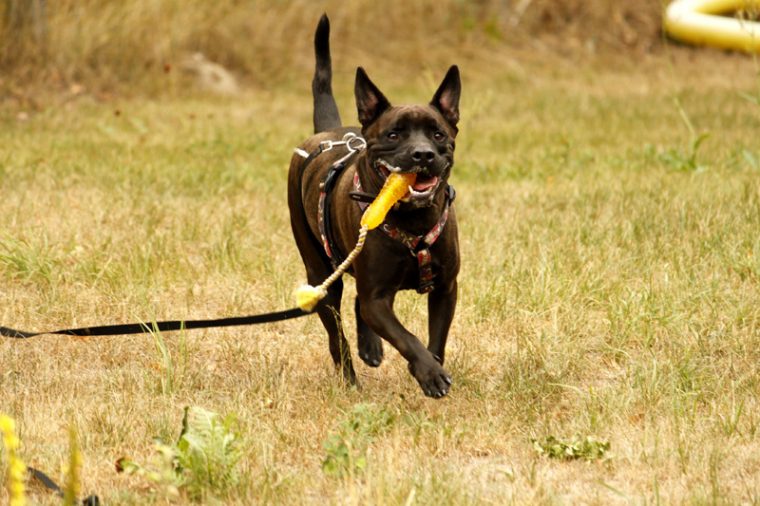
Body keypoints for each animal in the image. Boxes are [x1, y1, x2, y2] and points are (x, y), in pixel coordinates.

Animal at [286, 13, 460, 398]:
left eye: (438, 134)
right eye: (393, 134)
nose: (422, 154)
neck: (411, 219)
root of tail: (328, 132)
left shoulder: (445, 288)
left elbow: (435, 340)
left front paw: (431, 368)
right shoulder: (378, 298)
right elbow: (407, 337)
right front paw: (429, 373)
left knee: (356, 304)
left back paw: (370, 348)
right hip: (320, 276)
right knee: (338, 335)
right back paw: (350, 378)